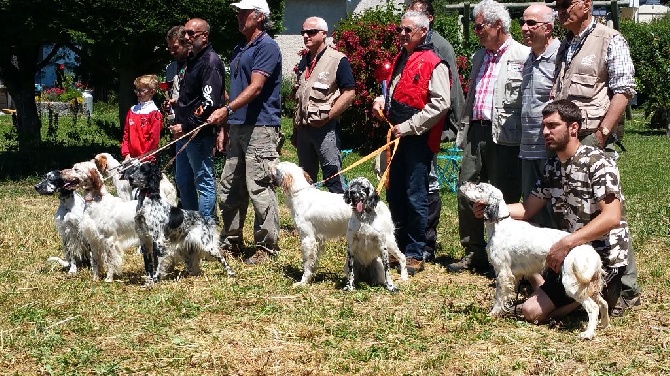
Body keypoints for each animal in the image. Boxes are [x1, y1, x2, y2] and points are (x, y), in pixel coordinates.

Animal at [462, 181, 608, 340]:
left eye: (480, 187)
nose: (463, 183)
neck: (499, 225)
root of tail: (591, 253)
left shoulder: (502, 272)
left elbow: (499, 297)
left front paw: (493, 314)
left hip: (572, 285)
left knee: (593, 307)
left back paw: (587, 333)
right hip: (590, 287)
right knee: (603, 303)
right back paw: (604, 325)